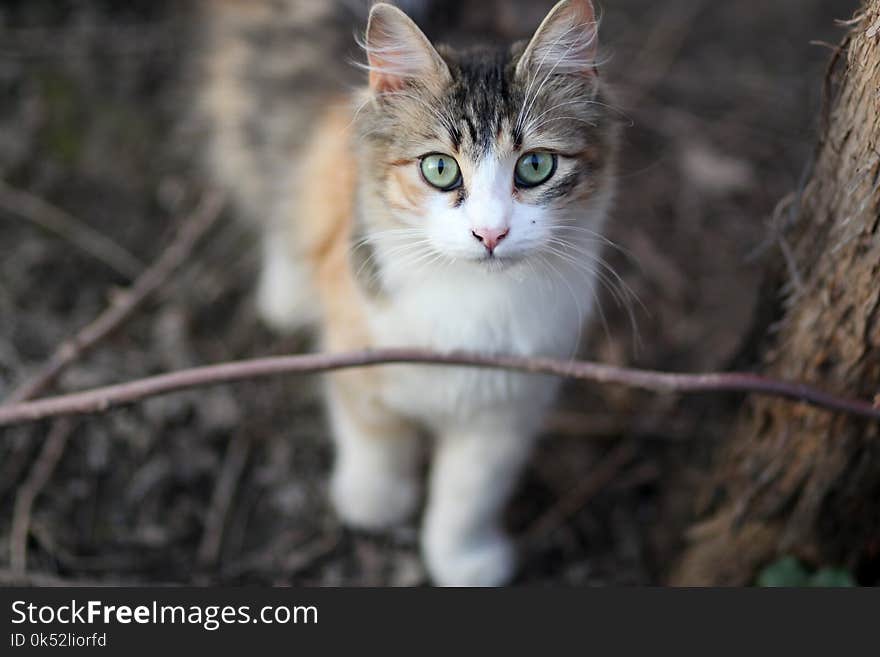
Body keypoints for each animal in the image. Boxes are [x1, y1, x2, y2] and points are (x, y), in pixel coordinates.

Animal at [199, 0, 620, 584]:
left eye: (535, 166)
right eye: (440, 169)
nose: (490, 234)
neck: (472, 303)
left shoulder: (507, 411)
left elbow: (468, 496)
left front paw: (463, 562)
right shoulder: (359, 358)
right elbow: (375, 441)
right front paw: (374, 505)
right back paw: (288, 293)